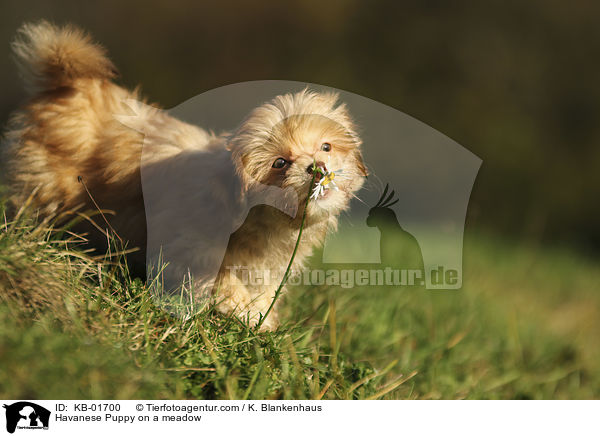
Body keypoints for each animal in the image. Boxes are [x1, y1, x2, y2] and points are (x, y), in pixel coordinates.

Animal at [2, 20, 366, 328]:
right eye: (279, 163)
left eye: (326, 147)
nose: (317, 167)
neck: (259, 220)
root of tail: (73, 88)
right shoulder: (191, 248)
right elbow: (219, 279)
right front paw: (244, 309)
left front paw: (262, 315)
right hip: (46, 188)